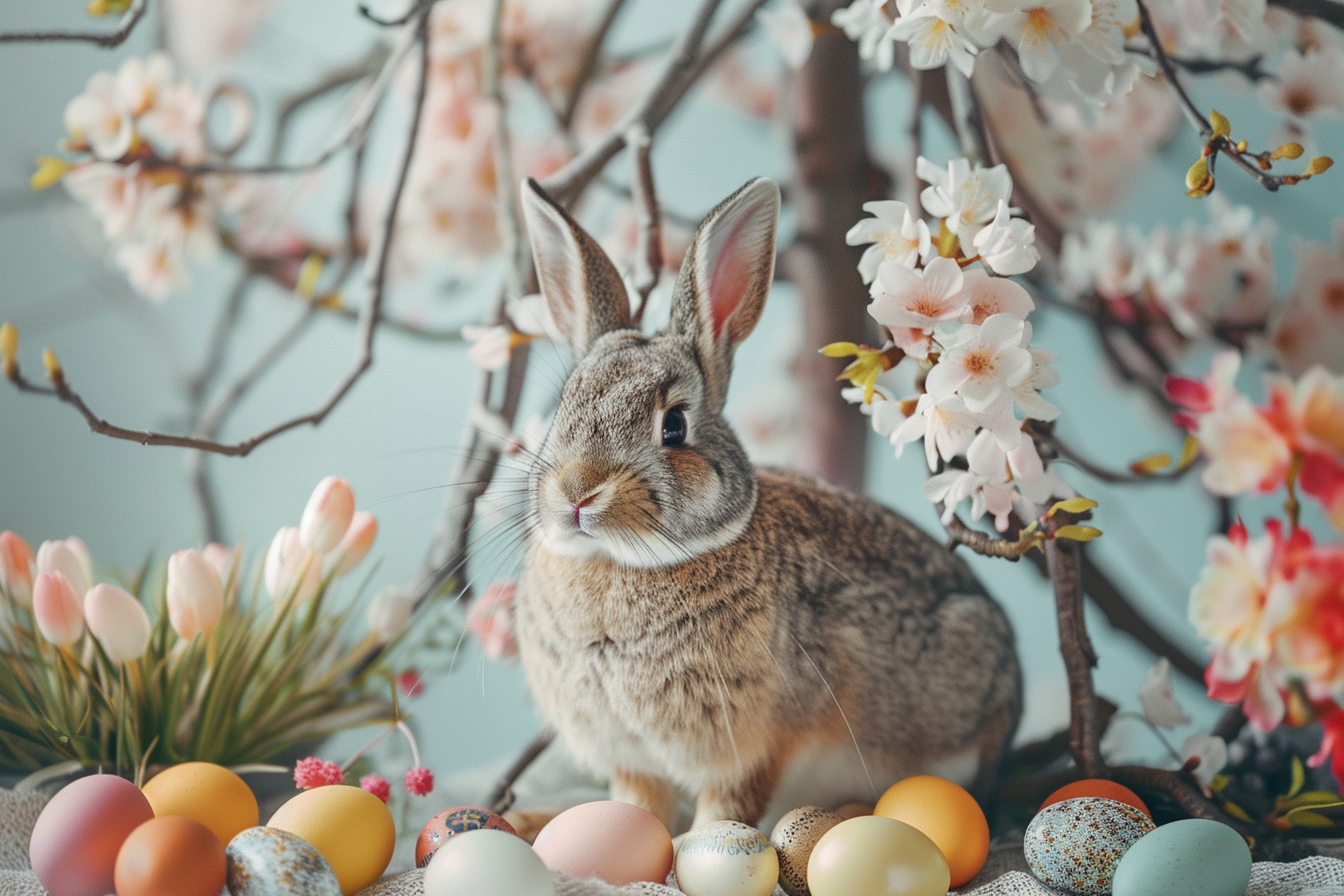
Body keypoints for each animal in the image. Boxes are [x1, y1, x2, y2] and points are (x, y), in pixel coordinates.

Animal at [513, 175, 1022, 833]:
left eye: (674, 426)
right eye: (562, 409)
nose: (577, 493)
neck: (619, 563)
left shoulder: (754, 749)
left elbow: (725, 813)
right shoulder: (633, 761)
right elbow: (635, 810)